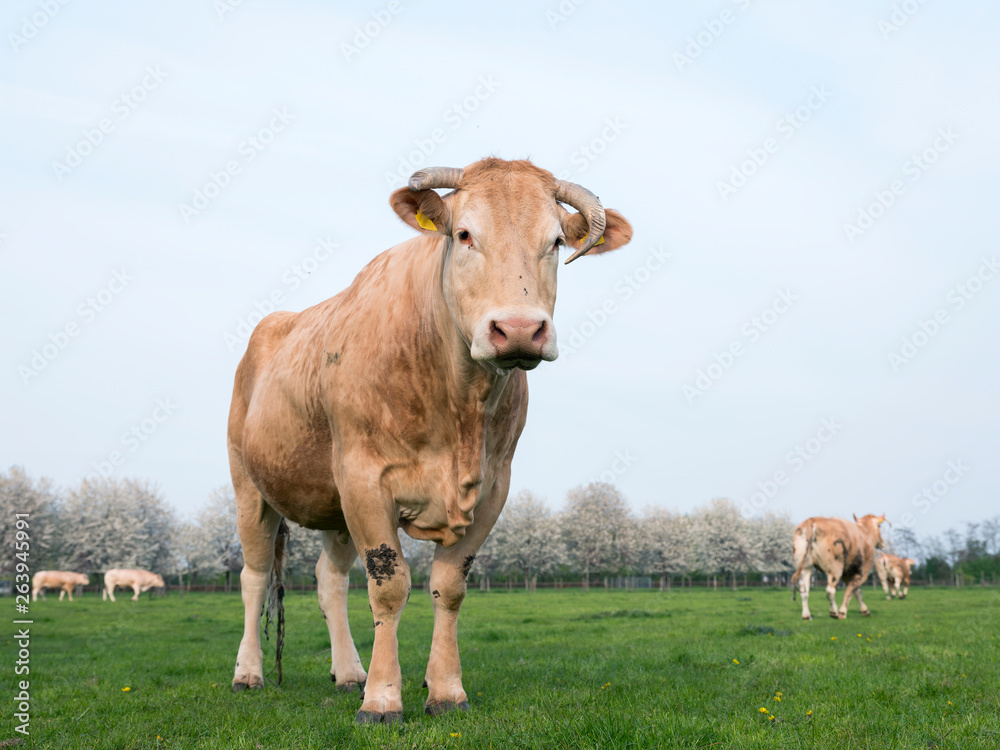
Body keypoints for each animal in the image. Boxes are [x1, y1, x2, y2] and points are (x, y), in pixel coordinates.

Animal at [228, 156, 632, 724]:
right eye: (464, 234)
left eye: (555, 241)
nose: (519, 329)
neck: (457, 405)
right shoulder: (364, 479)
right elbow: (389, 585)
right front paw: (382, 699)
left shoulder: (493, 487)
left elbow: (450, 588)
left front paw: (444, 690)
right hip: (251, 487)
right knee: (255, 575)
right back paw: (249, 673)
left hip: (333, 505)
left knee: (329, 580)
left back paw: (348, 673)